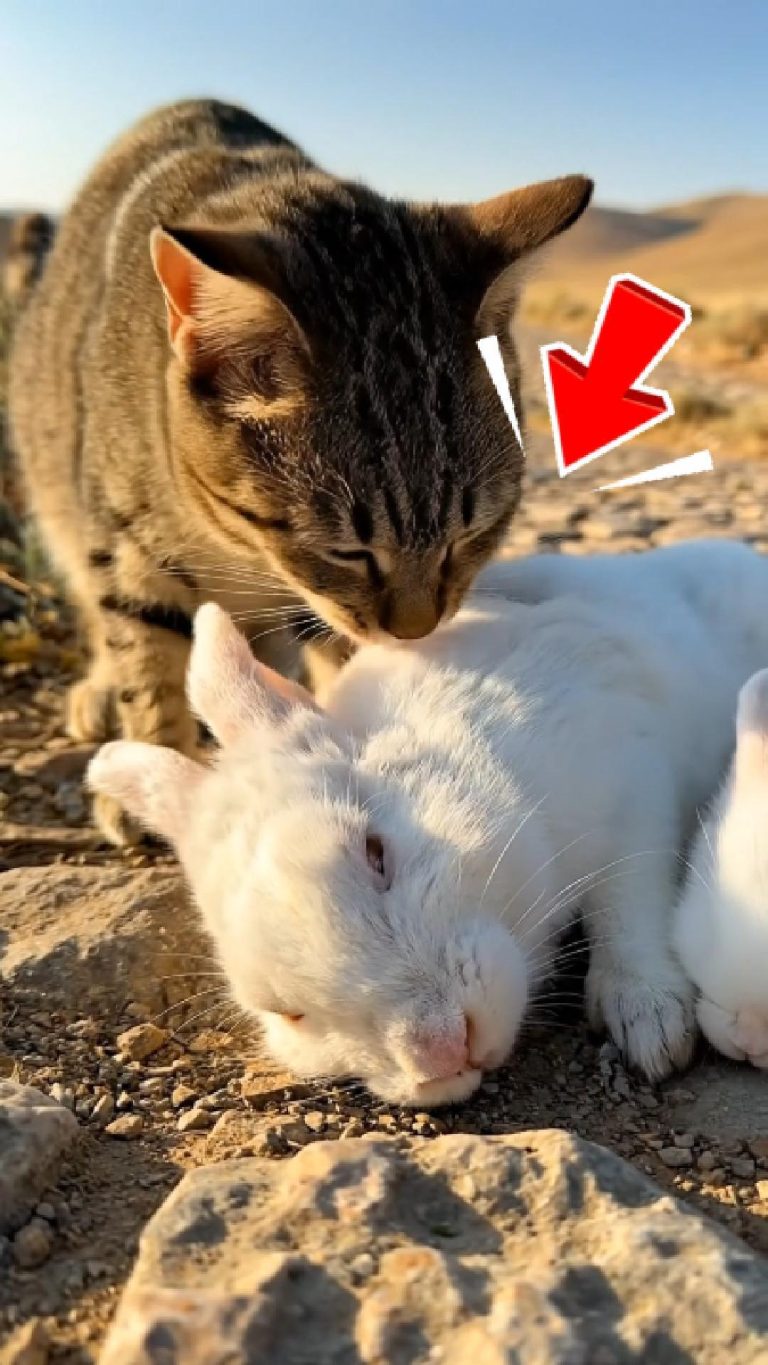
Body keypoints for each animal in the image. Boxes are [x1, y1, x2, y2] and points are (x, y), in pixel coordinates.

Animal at [88, 539, 768, 1107]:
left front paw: (652, 1027)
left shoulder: (631, 791)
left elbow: (627, 908)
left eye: (377, 853)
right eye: (287, 1013)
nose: (440, 1050)